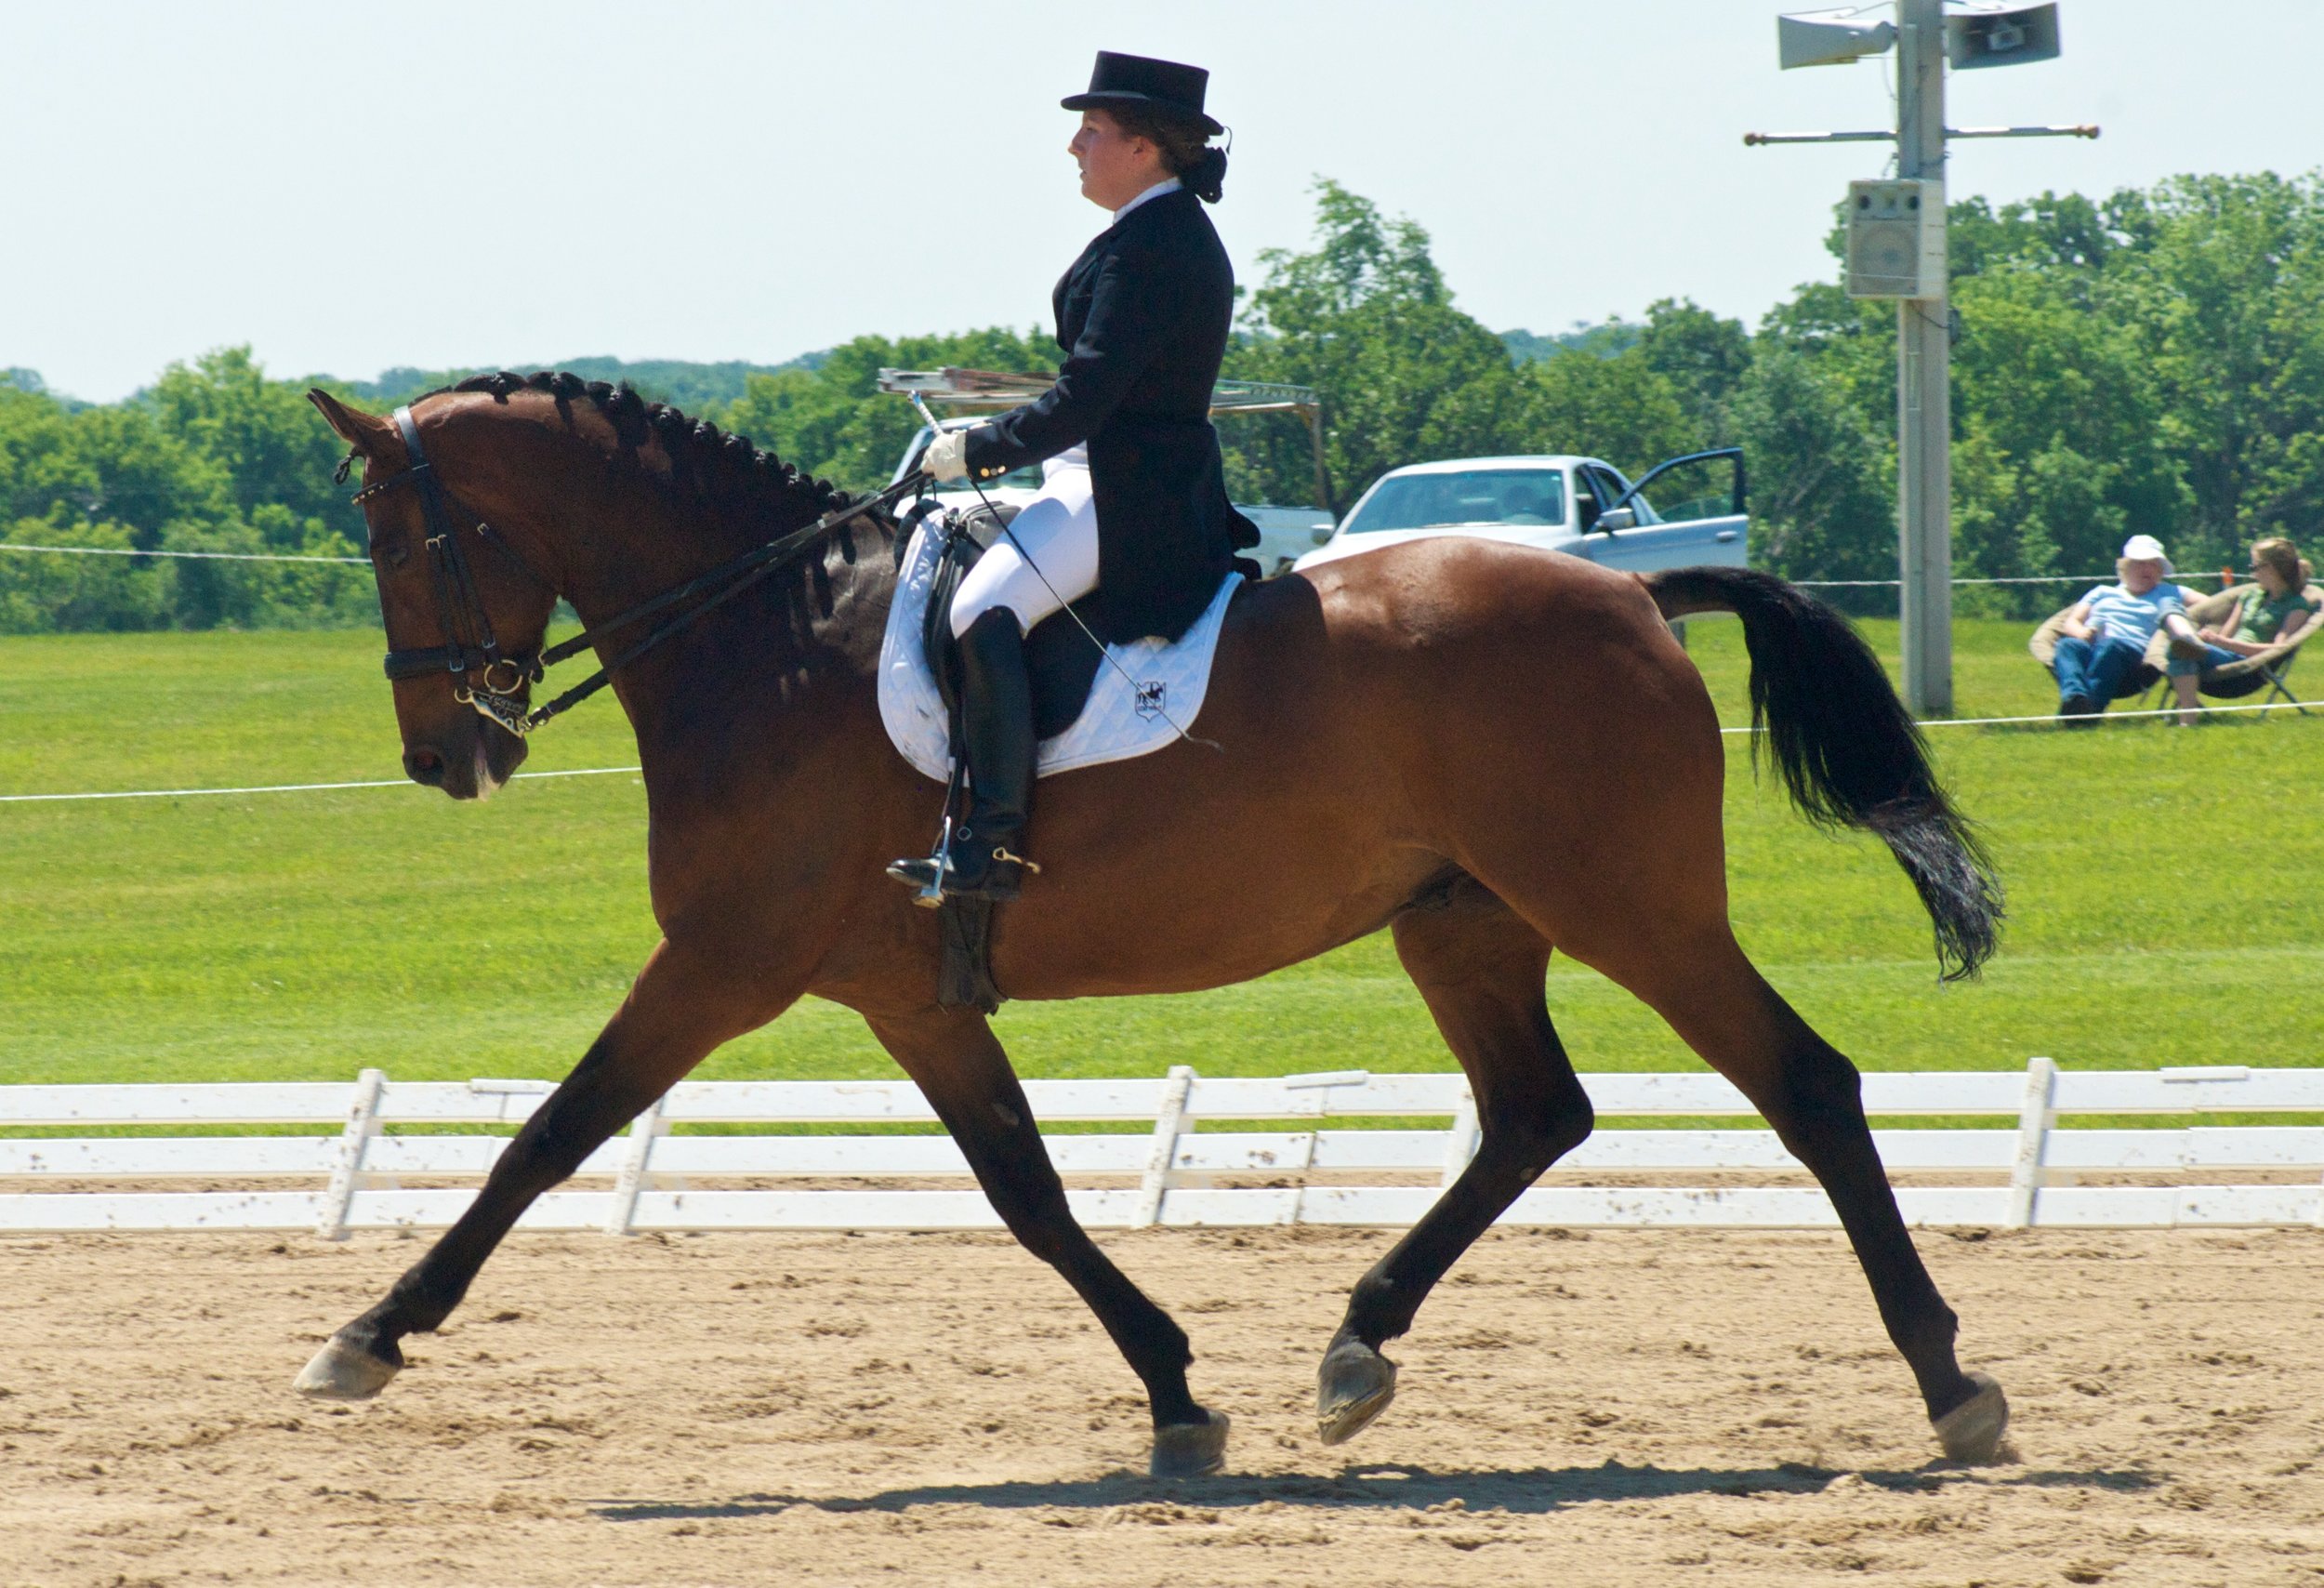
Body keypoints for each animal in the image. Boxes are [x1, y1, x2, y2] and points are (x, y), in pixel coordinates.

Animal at [299, 372, 2008, 1478]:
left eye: (400, 541)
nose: (446, 755)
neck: (767, 639)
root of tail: (1637, 596)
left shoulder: (725, 963)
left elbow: (548, 1134)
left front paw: (368, 1336)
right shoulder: (911, 998)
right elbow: (1030, 1195)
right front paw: (1179, 1396)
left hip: (1626, 904)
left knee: (1804, 1085)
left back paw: (1950, 1383)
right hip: (1463, 920)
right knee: (1537, 1112)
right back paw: (1358, 1348)